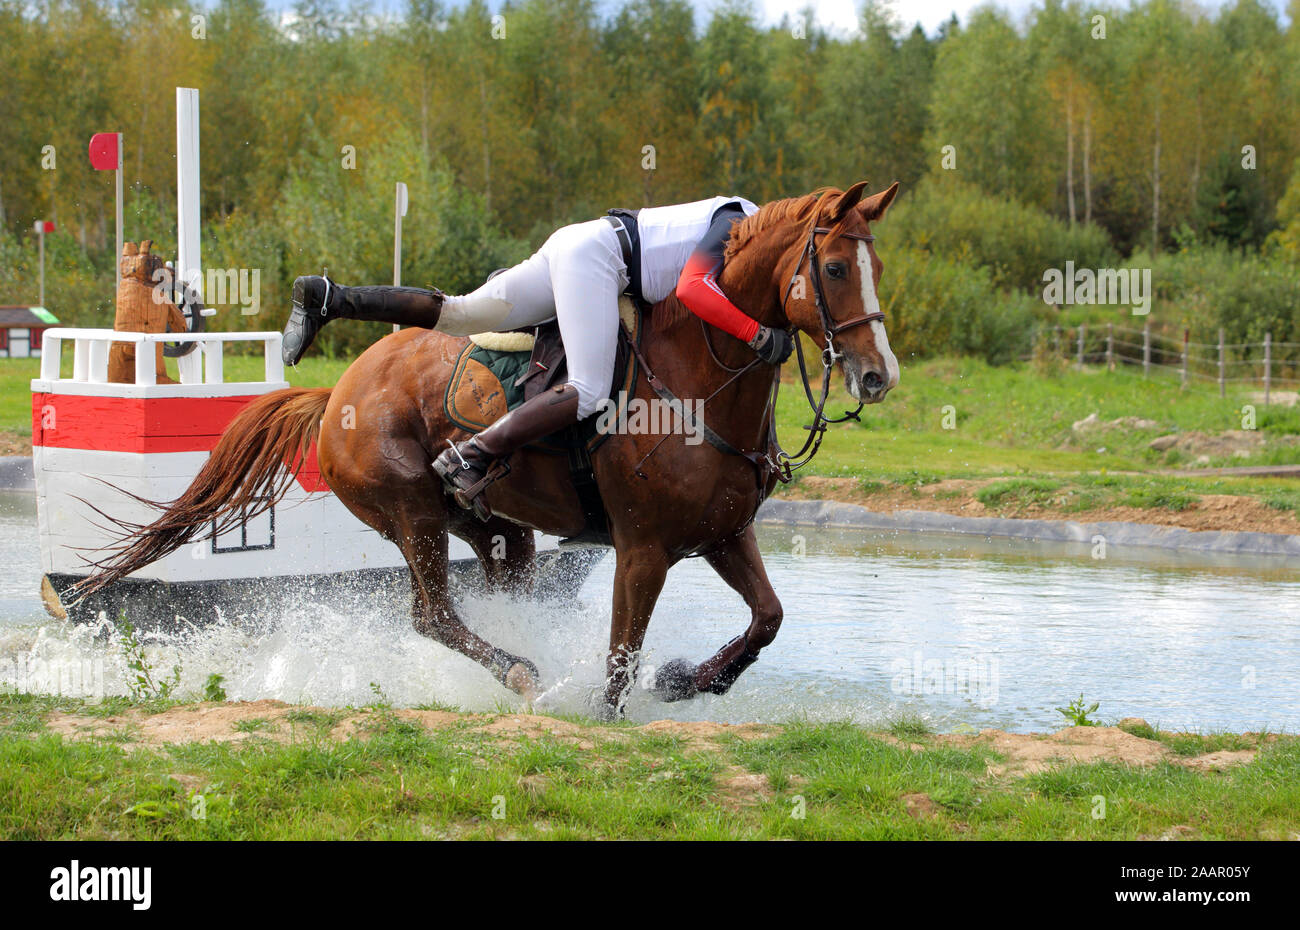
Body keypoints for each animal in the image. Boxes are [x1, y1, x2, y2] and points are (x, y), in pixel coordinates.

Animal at [76, 183, 899, 717]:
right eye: (833, 269)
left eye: (878, 270)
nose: (876, 375)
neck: (698, 384)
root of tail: (337, 394)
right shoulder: (643, 550)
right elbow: (618, 663)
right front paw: (614, 710)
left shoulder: (725, 534)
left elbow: (767, 618)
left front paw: (686, 681)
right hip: (410, 510)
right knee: (432, 616)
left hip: (494, 528)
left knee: (462, 320)